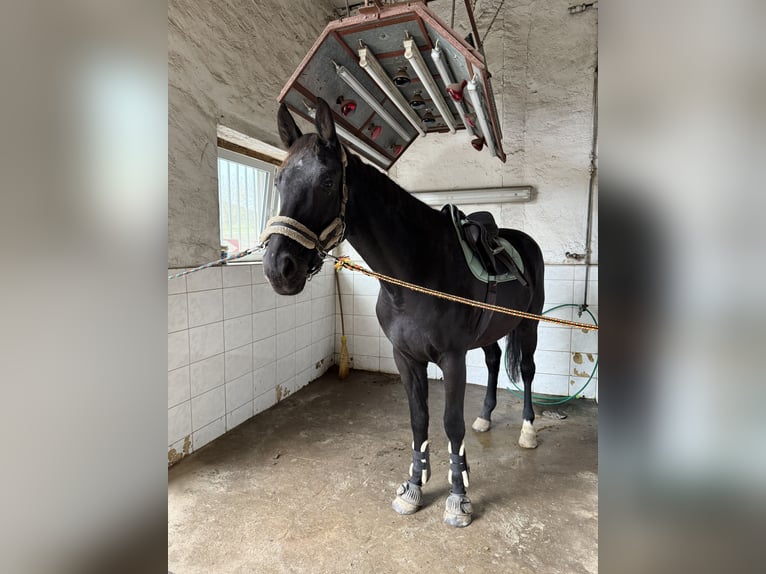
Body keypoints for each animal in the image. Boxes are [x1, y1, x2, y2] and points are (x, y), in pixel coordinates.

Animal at [261, 98, 545, 527]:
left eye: (326, 181)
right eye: (279, 181)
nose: (280, 268)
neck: (416, 276)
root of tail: (524, 240)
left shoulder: (451, 358)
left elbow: (450, 423)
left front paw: (458, 497)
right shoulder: (406, 357)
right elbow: (419, 419)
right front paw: (414, 485)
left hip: (529, 326)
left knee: (526, 371)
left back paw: (528, 431)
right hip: (490, 331)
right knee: (495, 360)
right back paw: (485, 416)